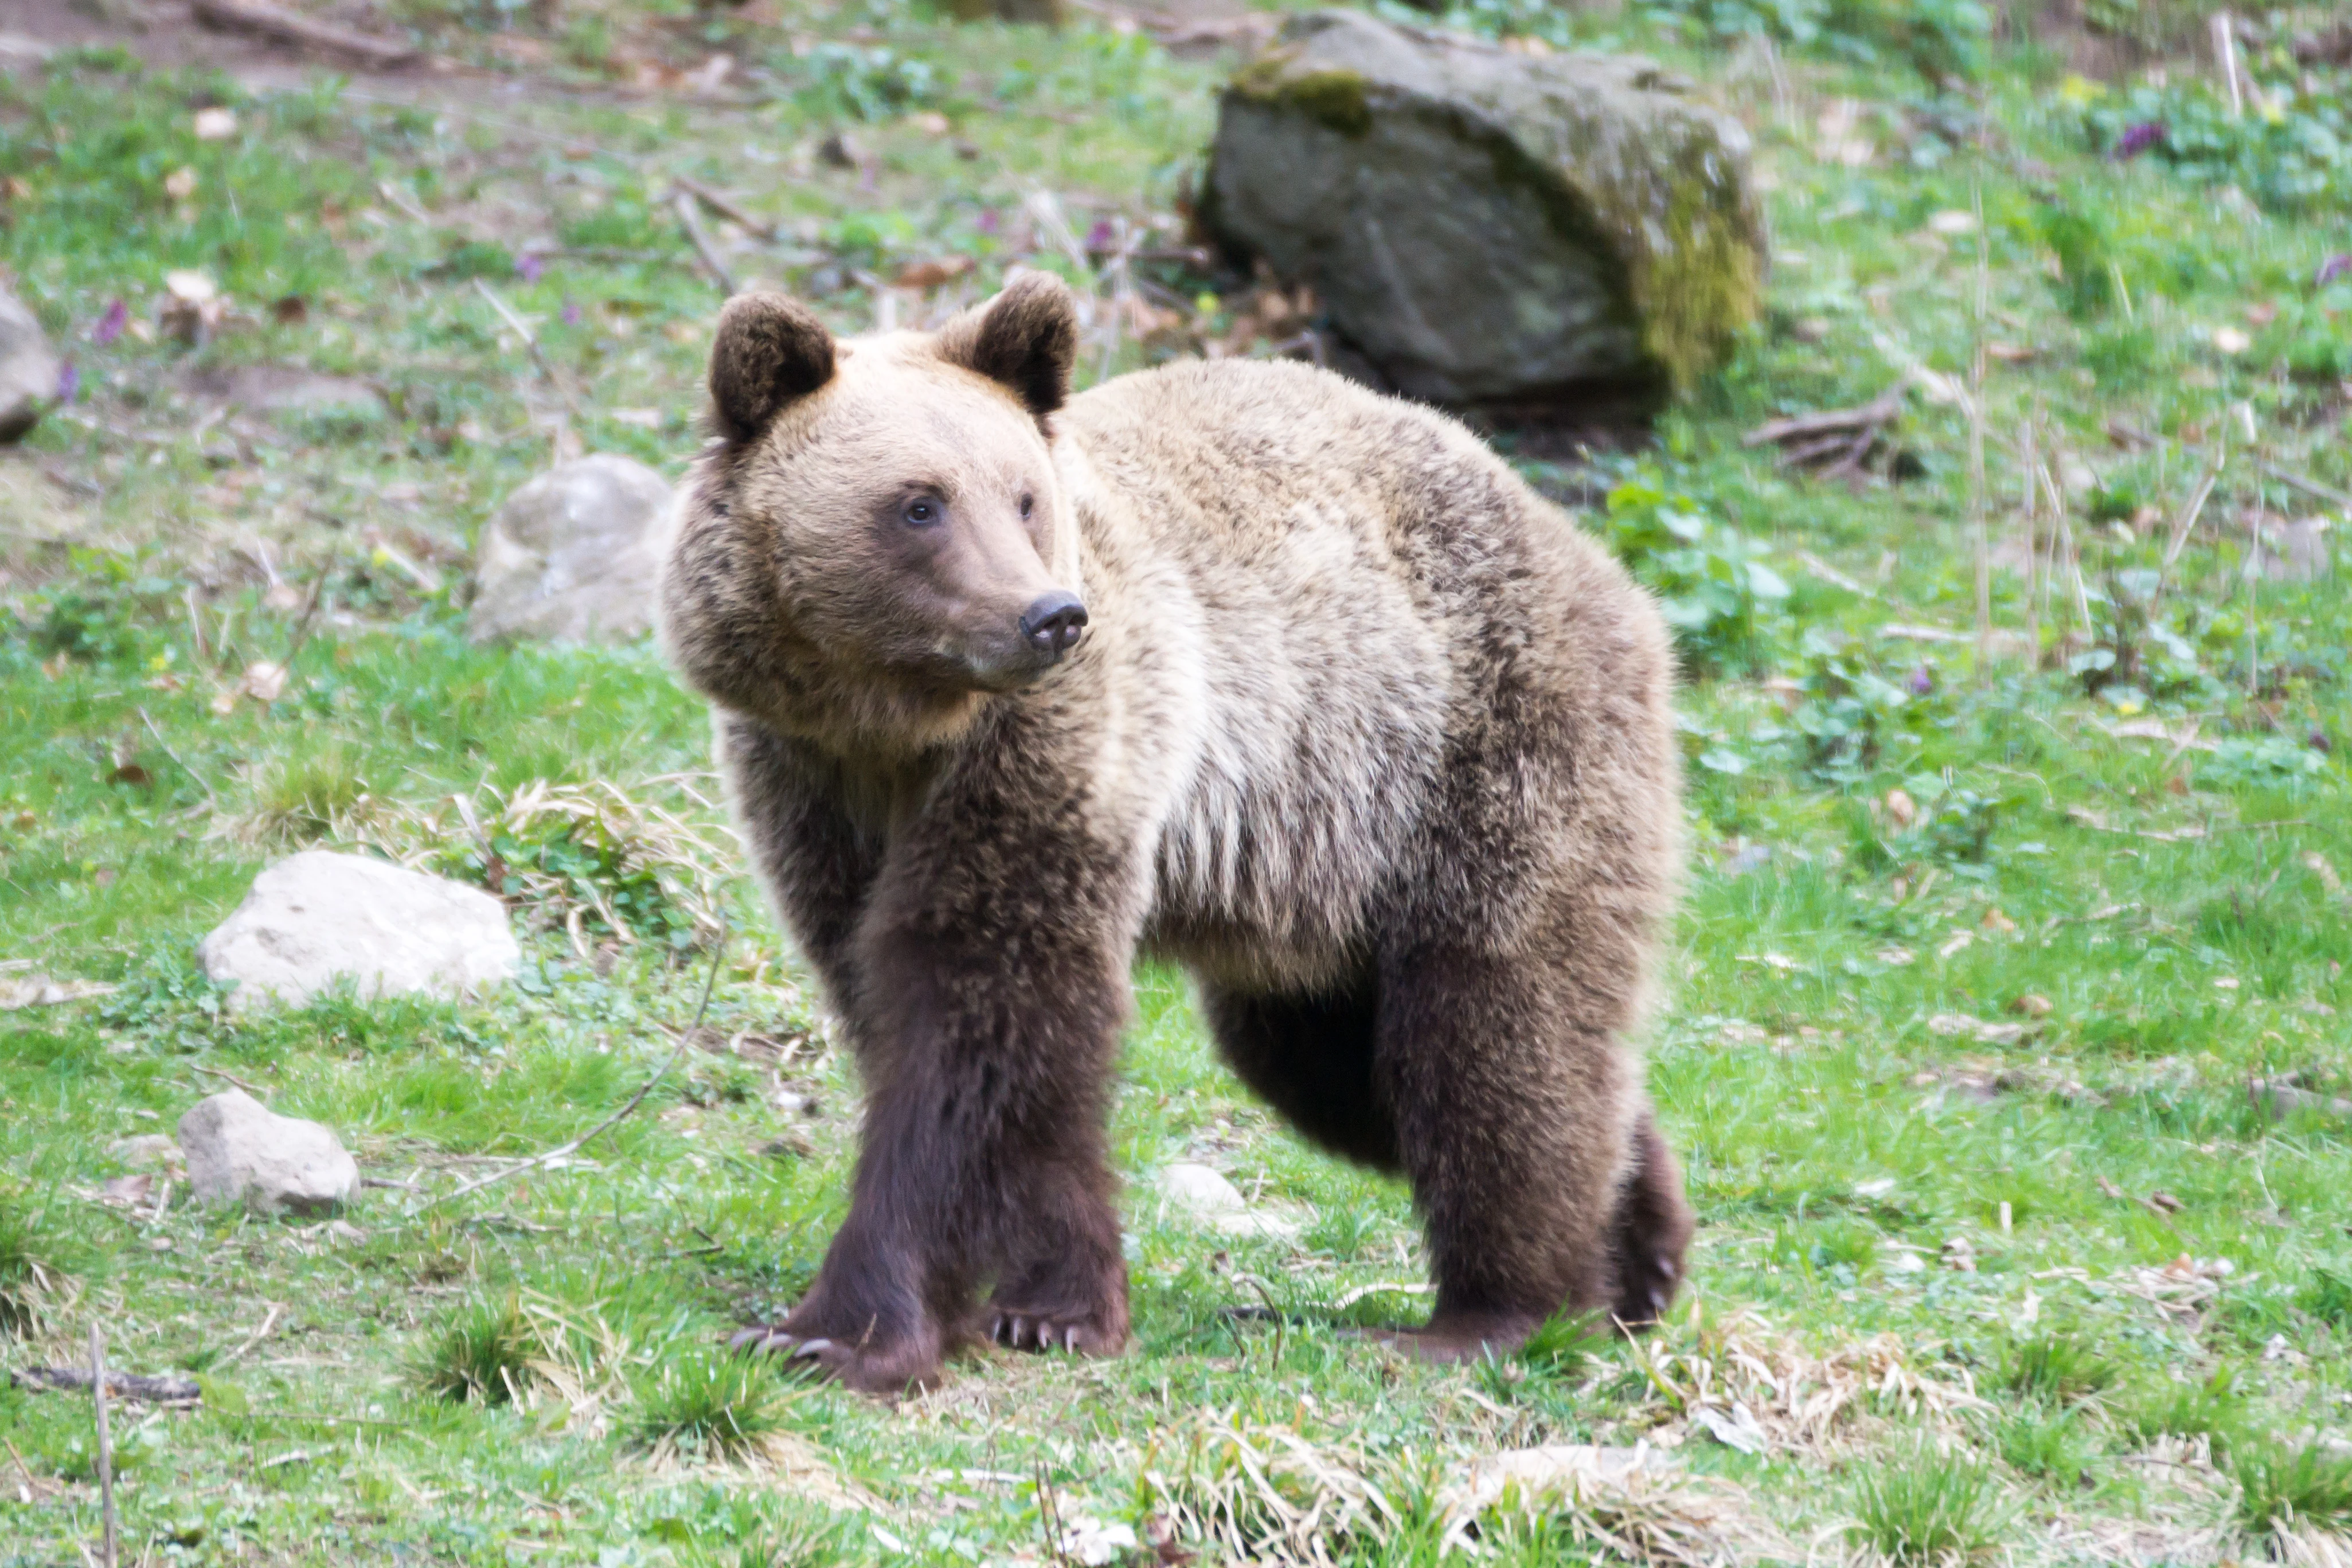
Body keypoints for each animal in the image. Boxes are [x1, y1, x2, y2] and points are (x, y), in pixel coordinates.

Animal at [660, 272, 1692, 1395]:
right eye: (919, 503)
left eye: (1023, 497)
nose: (1048, 616)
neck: (897, 725)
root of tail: (1602, 566)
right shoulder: (813, 785)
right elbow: (942, 1028)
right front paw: (1049, 1301)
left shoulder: (1052, 754)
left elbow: (971, 1016)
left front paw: (840, 1328)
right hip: (1329, 889)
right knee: (1342, 1062)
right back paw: (1640, 1251)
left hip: (1476, 759)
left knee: (1486, 1033)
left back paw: (1500, 1309)